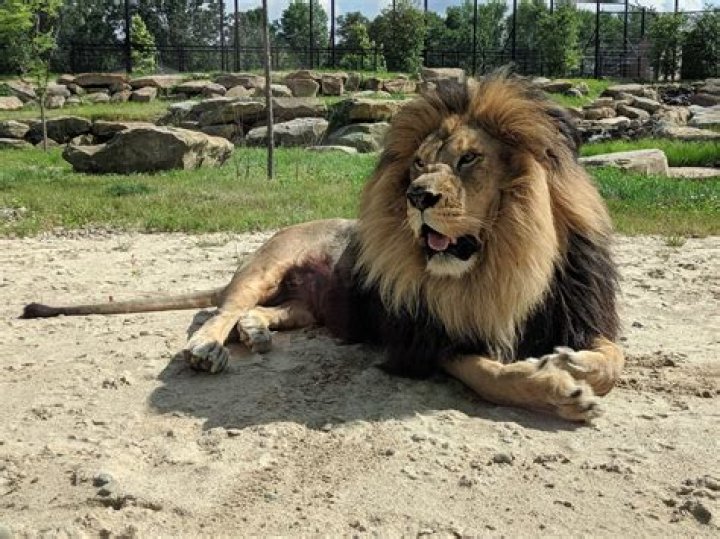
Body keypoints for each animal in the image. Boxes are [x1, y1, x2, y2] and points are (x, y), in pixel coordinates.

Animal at [22, 73, 623, 422]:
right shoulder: (422, 339)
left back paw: (256, 332)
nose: (417, 196)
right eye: (419, 164)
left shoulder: (578, 306)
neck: (505, 263)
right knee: (219, 311)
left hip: (308, 305)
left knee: (270, 312)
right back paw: (211, 347)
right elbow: (489, 374)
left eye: (470, 159)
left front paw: (570, 360)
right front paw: (559, 390)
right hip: (266, 263)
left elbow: (614, 358)